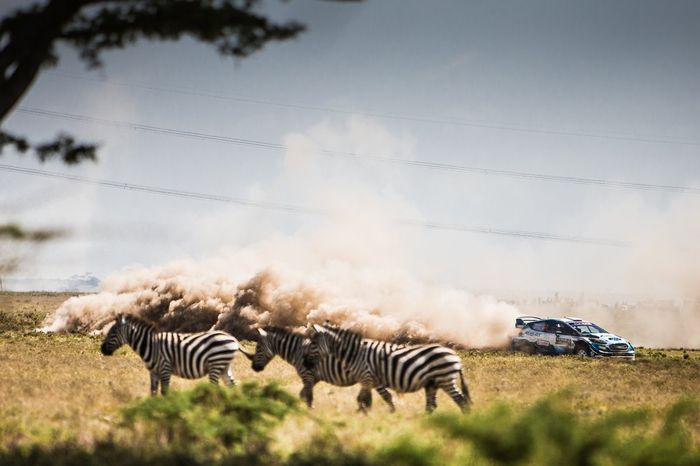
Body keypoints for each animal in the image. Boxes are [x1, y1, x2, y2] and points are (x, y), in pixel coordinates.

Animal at [98, 314, 252, 396]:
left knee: (215, 388)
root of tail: (233, 339)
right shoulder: (153, 372)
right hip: (224, 366)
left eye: (113, 333)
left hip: (216, 363)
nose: (102, 350)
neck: (151, 345)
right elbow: (153, 392)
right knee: (233, 386)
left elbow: (165, 392)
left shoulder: (165, 368)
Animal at [250, 326, 394, 410]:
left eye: (258, 348)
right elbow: (302, 395)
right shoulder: (314, 378)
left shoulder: (307, 375)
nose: (254, 368)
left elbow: (308, 397)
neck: (296, 351)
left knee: (387, 396)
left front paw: (308, 413)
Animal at [308, 324, 474, 412]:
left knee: (461, 400)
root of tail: (456, 356)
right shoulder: (370, 381)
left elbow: (368, 399)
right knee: (432, 405)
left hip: (445, 379)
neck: (355, 353)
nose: (305, 361)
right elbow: (370, 399)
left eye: (313, 343)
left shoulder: (368, 377)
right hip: (433, 383)